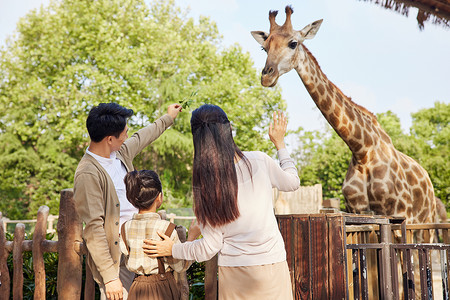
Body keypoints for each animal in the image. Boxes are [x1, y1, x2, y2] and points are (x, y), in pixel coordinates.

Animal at [250, 5, 436, 230]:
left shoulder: (396, 212)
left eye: (293, 43)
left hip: (424, 221)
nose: (267, 76)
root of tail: (428, 181)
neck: (362, 150)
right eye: (264, 48)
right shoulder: (358, 210)